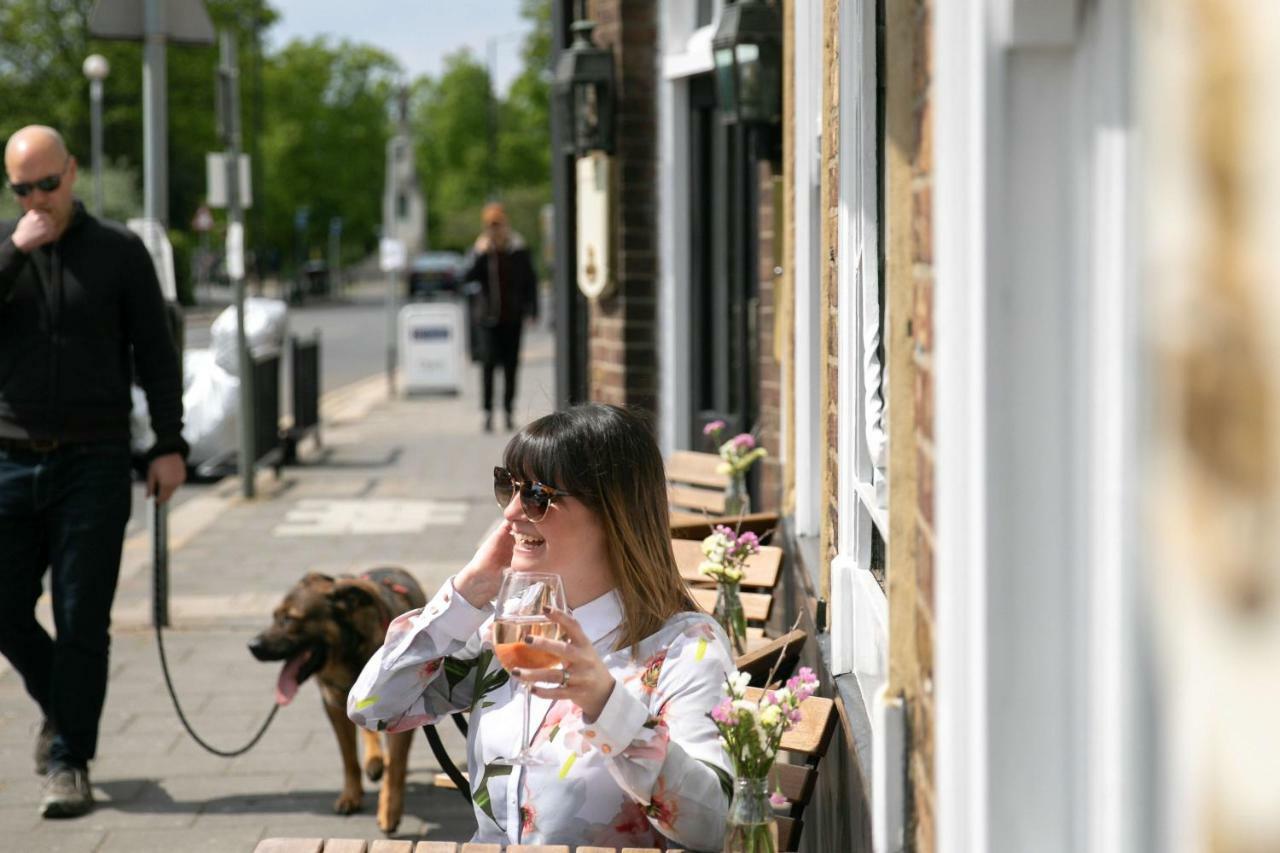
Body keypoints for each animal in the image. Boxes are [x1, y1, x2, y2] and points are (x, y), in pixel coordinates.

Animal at [247, 563, 427, 829]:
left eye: (290, 619)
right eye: (275, 616)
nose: (252, 645)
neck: (349, 656)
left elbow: (396, 765)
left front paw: (389, 810)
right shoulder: (333, 705)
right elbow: (348, 757)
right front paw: (351, 796)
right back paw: (374, 761)